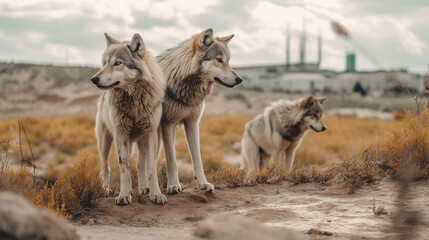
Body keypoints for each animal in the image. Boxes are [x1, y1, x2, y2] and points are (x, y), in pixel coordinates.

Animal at [91, 31, 166, 205]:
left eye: (118, 63)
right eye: (104, 63)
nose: (94, 79)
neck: (134, 100)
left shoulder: (150, 134)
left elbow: (151, 168)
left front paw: (156, 194)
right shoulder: (121, 135)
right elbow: (124, 168)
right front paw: (124, 195)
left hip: (142, 141)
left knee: (140, 164)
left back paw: (144, 188)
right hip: (105, 143)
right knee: (105, 167)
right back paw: (106, 190)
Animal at [157, 28, 242, 194]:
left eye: (228, 61)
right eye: (219, 60)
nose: (239, 80)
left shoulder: (192, 124)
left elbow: (197, 159)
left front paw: (203, 184)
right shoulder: (168, 124)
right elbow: (171, 160)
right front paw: (173, 185)